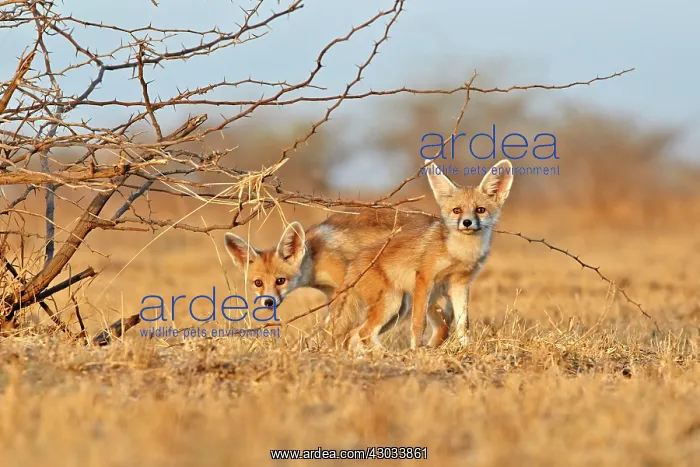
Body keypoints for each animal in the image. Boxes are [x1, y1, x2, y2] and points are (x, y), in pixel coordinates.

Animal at [223, 208, 449, 343]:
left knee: (443, 323)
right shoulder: (331, 294)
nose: (268, 302)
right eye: (258, 283)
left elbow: (338, 326)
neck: (316, 256)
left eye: (280, 281)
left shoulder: (345, 285)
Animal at [339, 159, 514, 350]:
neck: (459, 253)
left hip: (399, 310)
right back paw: (385, 353)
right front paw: (417, 349)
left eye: (480, 210)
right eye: (457, 210)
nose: (467, 222)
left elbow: (463, 324)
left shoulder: (460, 284)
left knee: (354, 334)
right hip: (393, 302)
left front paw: (467, 348)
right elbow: (419, 323)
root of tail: (353, 263)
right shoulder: (425, 278)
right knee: (364, 333)